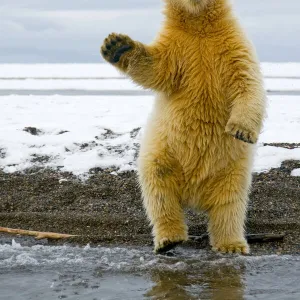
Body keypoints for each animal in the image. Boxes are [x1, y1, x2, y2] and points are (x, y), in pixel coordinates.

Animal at [102, 0, 266, 254]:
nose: (115, 46)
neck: (198, 27)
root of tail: (194, 195)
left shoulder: (233, 44)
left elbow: (247, 82)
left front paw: (241, 130)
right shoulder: (176, 46)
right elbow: (155, 67)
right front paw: (116, 46)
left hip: (231, 168)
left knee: (230, 203)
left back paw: (232, 244)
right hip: (163, 151)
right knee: (159, 188)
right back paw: (168, 239)